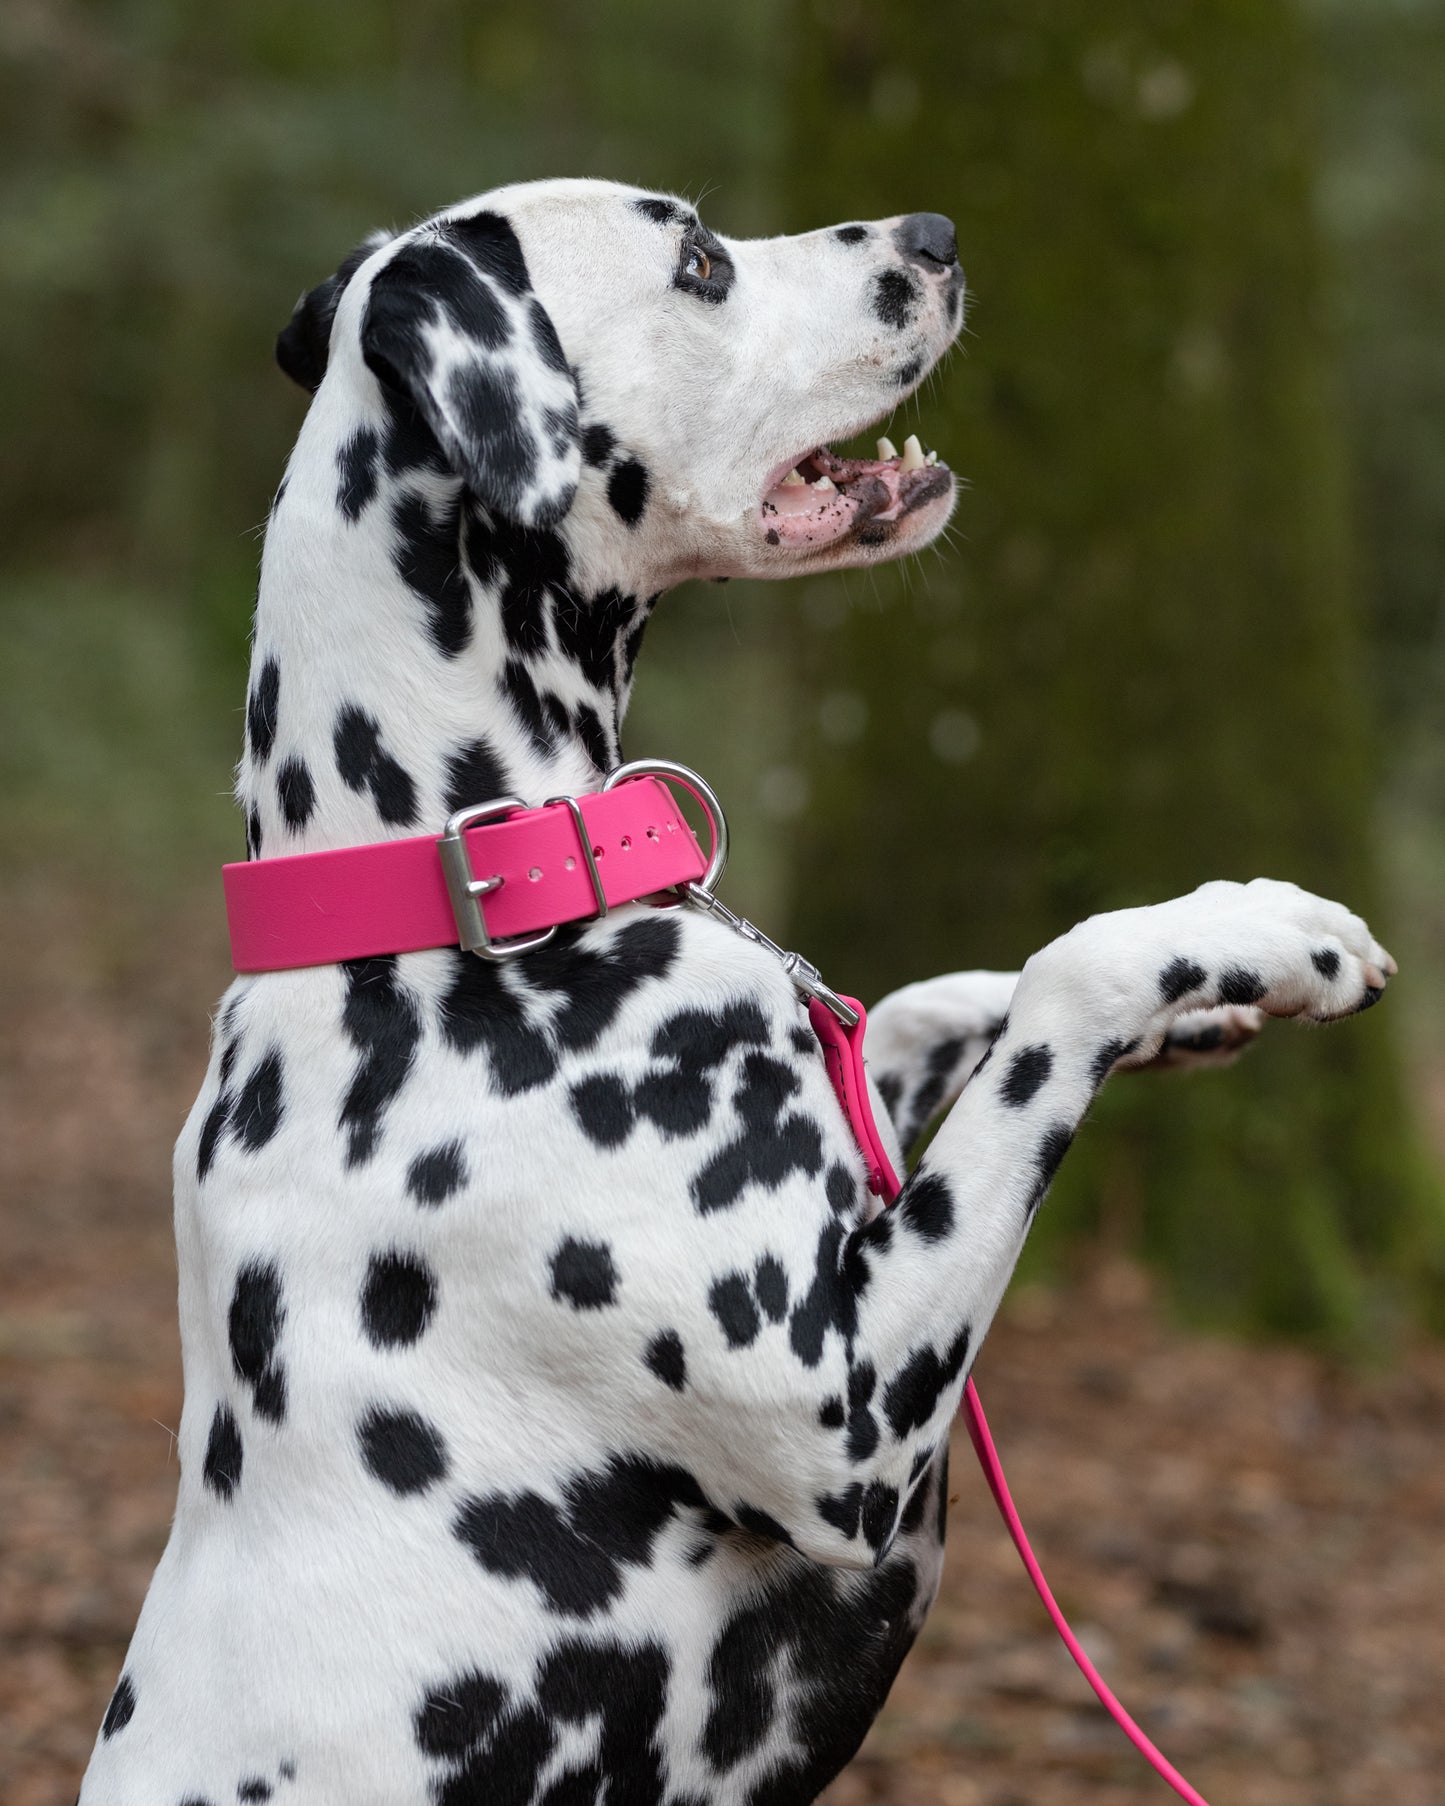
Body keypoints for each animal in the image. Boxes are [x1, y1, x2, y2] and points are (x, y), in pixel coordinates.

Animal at [79, 172, 1387, 1806]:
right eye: (699, 260)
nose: (938, 236)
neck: (452, 893)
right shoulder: (854, 1415)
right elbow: (1066, 972)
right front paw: (1268, 934)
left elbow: (922, 1003)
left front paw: (1211, 1003)